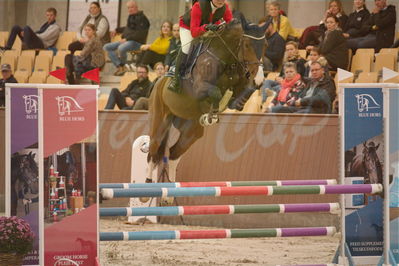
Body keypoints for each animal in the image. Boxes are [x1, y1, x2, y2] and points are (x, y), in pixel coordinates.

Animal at [147, 19, 266, 182]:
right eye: (247, 44)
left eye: (265, 46)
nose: (259, 79)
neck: (226, 58)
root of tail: (157, 83)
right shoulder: (199, 88)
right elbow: (215, 92)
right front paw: (212, 115)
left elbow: (242, 92)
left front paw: (237, 103)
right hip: (160, 119)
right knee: (152, 152)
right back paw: (147, 184)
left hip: (191, 131)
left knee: (172, 155)